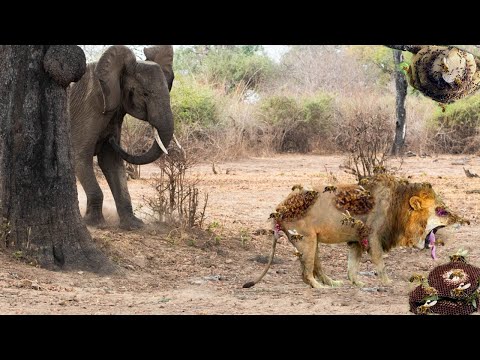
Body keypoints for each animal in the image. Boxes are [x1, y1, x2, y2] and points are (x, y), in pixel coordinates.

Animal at [66, 45, 173, 229]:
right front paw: (95, 224)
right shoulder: (88, 108)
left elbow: (111, 161)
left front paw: (134, 225)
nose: (110, 139)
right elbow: (80, 155)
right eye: (145, 94)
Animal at [244, 175, 468, 290]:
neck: (399, 209)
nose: (457, 218)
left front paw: (358, 282)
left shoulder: (357, 240)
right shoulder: (373, 237)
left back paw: (332, 283)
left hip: (311, 241)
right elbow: (380, 263)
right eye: (442, 211)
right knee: (306, 273)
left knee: (315, 267)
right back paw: (320, 287)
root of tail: (278, 209)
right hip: (306, 240)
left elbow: (353, 265)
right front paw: (387, 283)